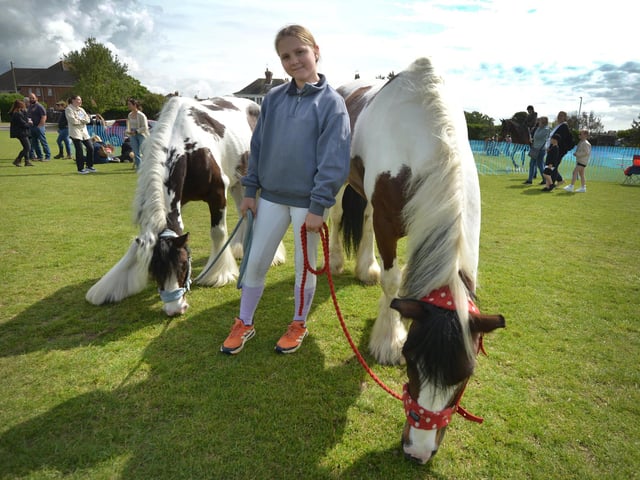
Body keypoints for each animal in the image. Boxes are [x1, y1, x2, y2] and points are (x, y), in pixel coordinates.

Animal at [86, 96, 285, 316]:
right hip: (238, 182)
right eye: (153, 270)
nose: (175, 309)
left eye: (183, 264)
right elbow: (138, 244)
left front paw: (217, 275)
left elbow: (218, 233)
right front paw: (108, 288)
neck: (188, 147)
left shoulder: (217, 193)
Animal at [329, 57, 505, 464]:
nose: (418, 451)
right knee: (333, 216)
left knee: (362, 219)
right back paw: (334, 261)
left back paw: (365, 268)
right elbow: (394, 282)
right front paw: (388, 339)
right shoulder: (388, 222)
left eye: (466, 375)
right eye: (411, 362)